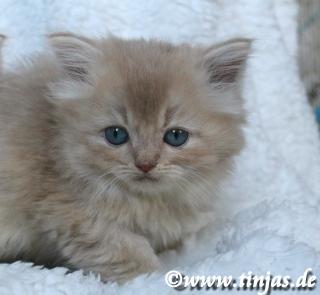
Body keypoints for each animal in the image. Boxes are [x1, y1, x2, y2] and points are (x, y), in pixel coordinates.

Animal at [0, 33, 250, 284]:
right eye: (116, 135)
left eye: (176, 136)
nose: (145, 164)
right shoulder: (72, 213)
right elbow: (130, 255)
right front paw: (153, 280)